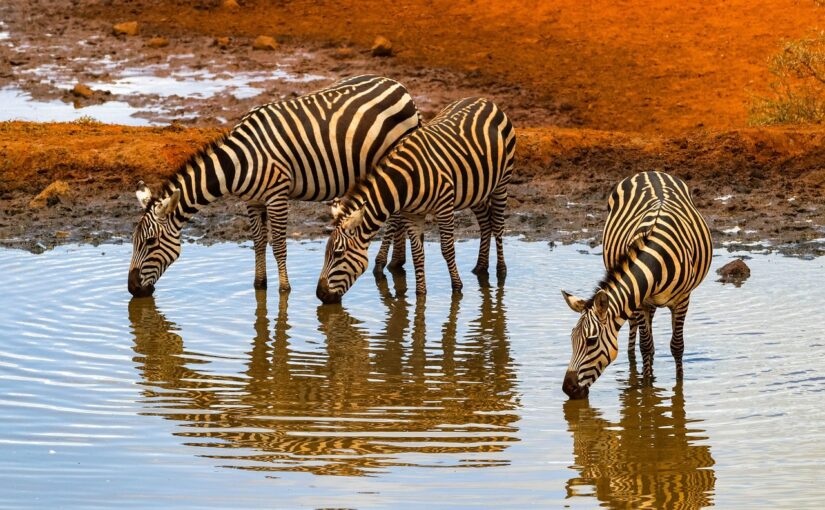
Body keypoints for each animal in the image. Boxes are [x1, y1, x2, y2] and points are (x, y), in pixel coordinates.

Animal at [128, 75, 420, 297]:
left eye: (150, 242)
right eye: (133, 242)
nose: (132, 289)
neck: (239, 162)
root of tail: (398, 85)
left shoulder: (277, 195)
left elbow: (278, 244)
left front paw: (284, 289)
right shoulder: (252, 200)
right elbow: (258, 241)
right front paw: (259, 284)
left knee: (396, 216)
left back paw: (384, 264)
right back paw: (396, 263)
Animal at [315, 97, 516, 304]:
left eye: (338, 254)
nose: (320, 294)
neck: (404, 181)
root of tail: (485, 100)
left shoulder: (444, 204)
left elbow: (447, 249)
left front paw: (457, 287)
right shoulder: (411, 214)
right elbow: (417, 254)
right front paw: (420, 294)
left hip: (502, 181)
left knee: (498, 225)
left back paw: (501, 272)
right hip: (475, 189)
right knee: (485, 221)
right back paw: (480, 267)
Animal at [560, 171, 712, 399]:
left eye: (591, 341)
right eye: (571, 339)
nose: (567, 388)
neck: (657, 260)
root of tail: (649, 172)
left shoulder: (682, 300)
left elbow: (677, 346)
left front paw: (678, 387)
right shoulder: (639, 301)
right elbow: (646, 346)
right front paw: (646, 388)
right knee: (636, 333)